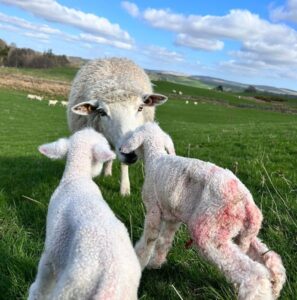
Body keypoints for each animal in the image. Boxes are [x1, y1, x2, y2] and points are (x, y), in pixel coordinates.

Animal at [67, 57, 169, 196]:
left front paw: (125, 189)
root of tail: (110, 57)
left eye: (140, 108)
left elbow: (124, 165)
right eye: (102, 112)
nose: (130, 153)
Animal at [119, 122, 286, 300]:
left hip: (209, 229)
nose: (122, 151)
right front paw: (155, 263)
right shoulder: (173, 217)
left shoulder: (153, 209)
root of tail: (248, 204)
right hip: (240, 232)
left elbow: (147, 241)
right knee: (272, 258)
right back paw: (275, 288)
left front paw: (138, 264)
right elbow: (164, 241)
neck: (155, 157)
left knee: (254, 275)